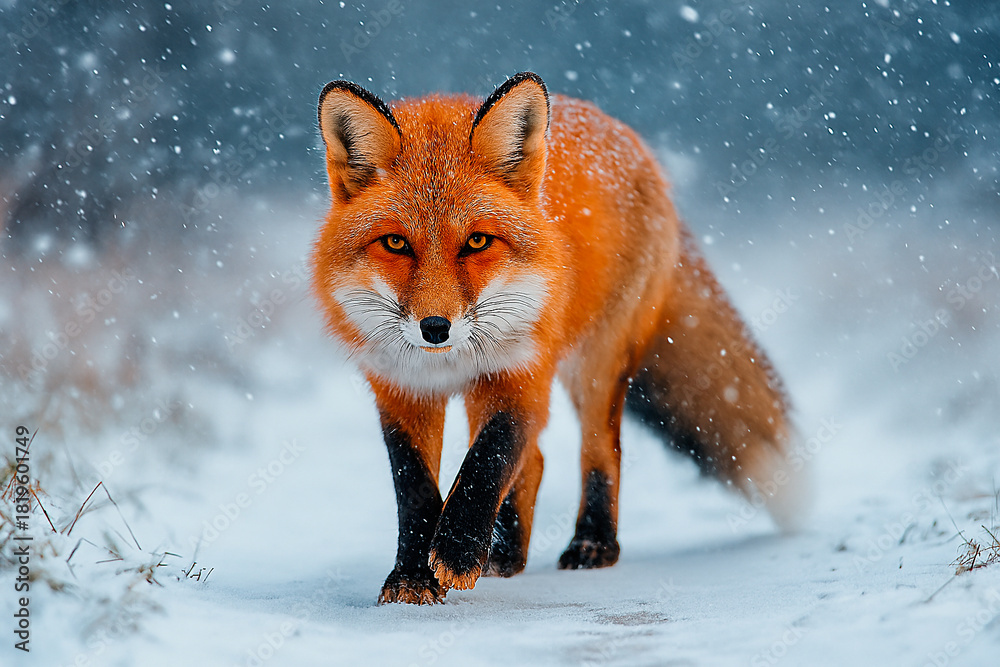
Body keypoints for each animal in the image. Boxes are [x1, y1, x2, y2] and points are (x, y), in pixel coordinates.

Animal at [311, 72, 804, 605]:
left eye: (477, 241)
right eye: (396, 243)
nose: (436, 328)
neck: (449, 362)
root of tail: (633, 142)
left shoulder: (522, 374)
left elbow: (487, 461)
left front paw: (458, 552)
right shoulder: (402, 389)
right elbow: (416, 488)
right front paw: (413, 576)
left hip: (596, 365)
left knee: (601, 450)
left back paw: (593, 543)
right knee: (537, 461)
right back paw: (506, 555)